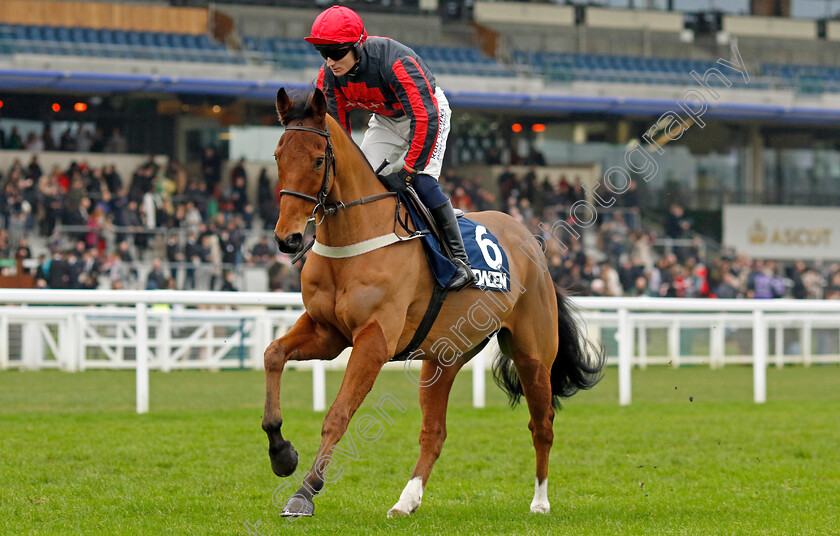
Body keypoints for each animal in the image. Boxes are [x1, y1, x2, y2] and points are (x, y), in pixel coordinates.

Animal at [262, 88, 604, 520]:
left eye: (318, 159)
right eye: (277, 155)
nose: (287, 238)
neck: (356, 236)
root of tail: (535, 247)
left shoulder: (374, 341)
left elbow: (338, 415)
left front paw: (304, 492)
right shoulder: (328, 332)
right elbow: (273, 354)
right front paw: (281, 452)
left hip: (533, 354)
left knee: (542, 424)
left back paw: (540, 502)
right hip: (443, 358)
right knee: (434, 433)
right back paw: (406, 500)